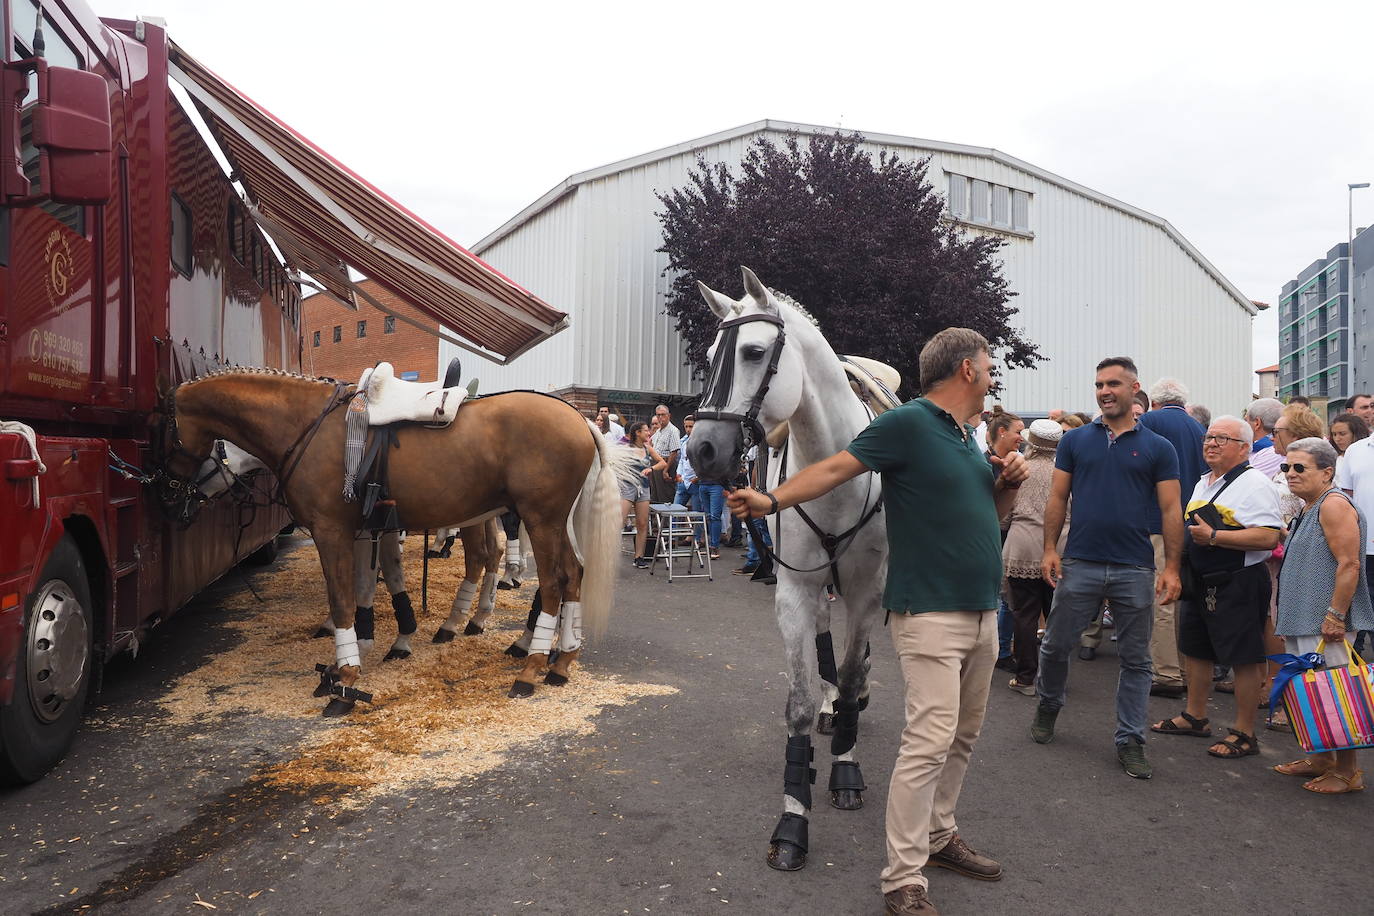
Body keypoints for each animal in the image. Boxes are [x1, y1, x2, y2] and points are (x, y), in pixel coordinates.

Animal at [160, 368, 623, 714]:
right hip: (550, 522)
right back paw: (560, 660)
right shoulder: (366, 531)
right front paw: (353, 657)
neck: (308, 425)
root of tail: (579, 419)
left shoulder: (333, 531)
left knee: (551, 582)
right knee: (568, 574)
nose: (168, 492)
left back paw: (531, 666)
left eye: (163, 428)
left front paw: (345, 680)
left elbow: (342, 599)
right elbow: (366, 588)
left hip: (540, 520)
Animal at [687, 266, 890, 873]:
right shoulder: (796, 588)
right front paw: (793, 821)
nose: (702, 451)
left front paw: (845, 769)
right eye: (711, 355)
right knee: (825, 645)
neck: (838, 466)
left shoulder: (868, 589)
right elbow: (800, 699)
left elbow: (852, 672)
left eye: (754, 352)